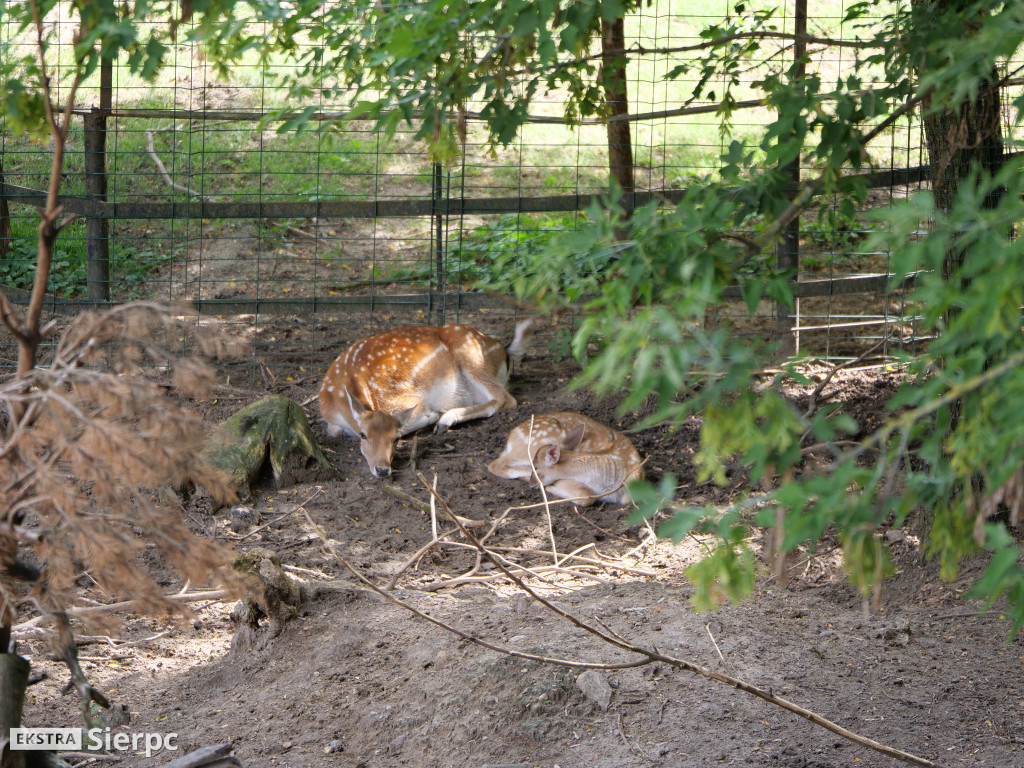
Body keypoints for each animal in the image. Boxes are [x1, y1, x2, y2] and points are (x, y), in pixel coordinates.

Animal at [319, 319, 532, 479]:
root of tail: (504, 352)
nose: (383, 470)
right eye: (364, 435)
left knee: (505, 398)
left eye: (396, 439)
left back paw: (445, 420)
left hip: (473, 358)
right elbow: (333, 431)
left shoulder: (408, 398)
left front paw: (432, 416)